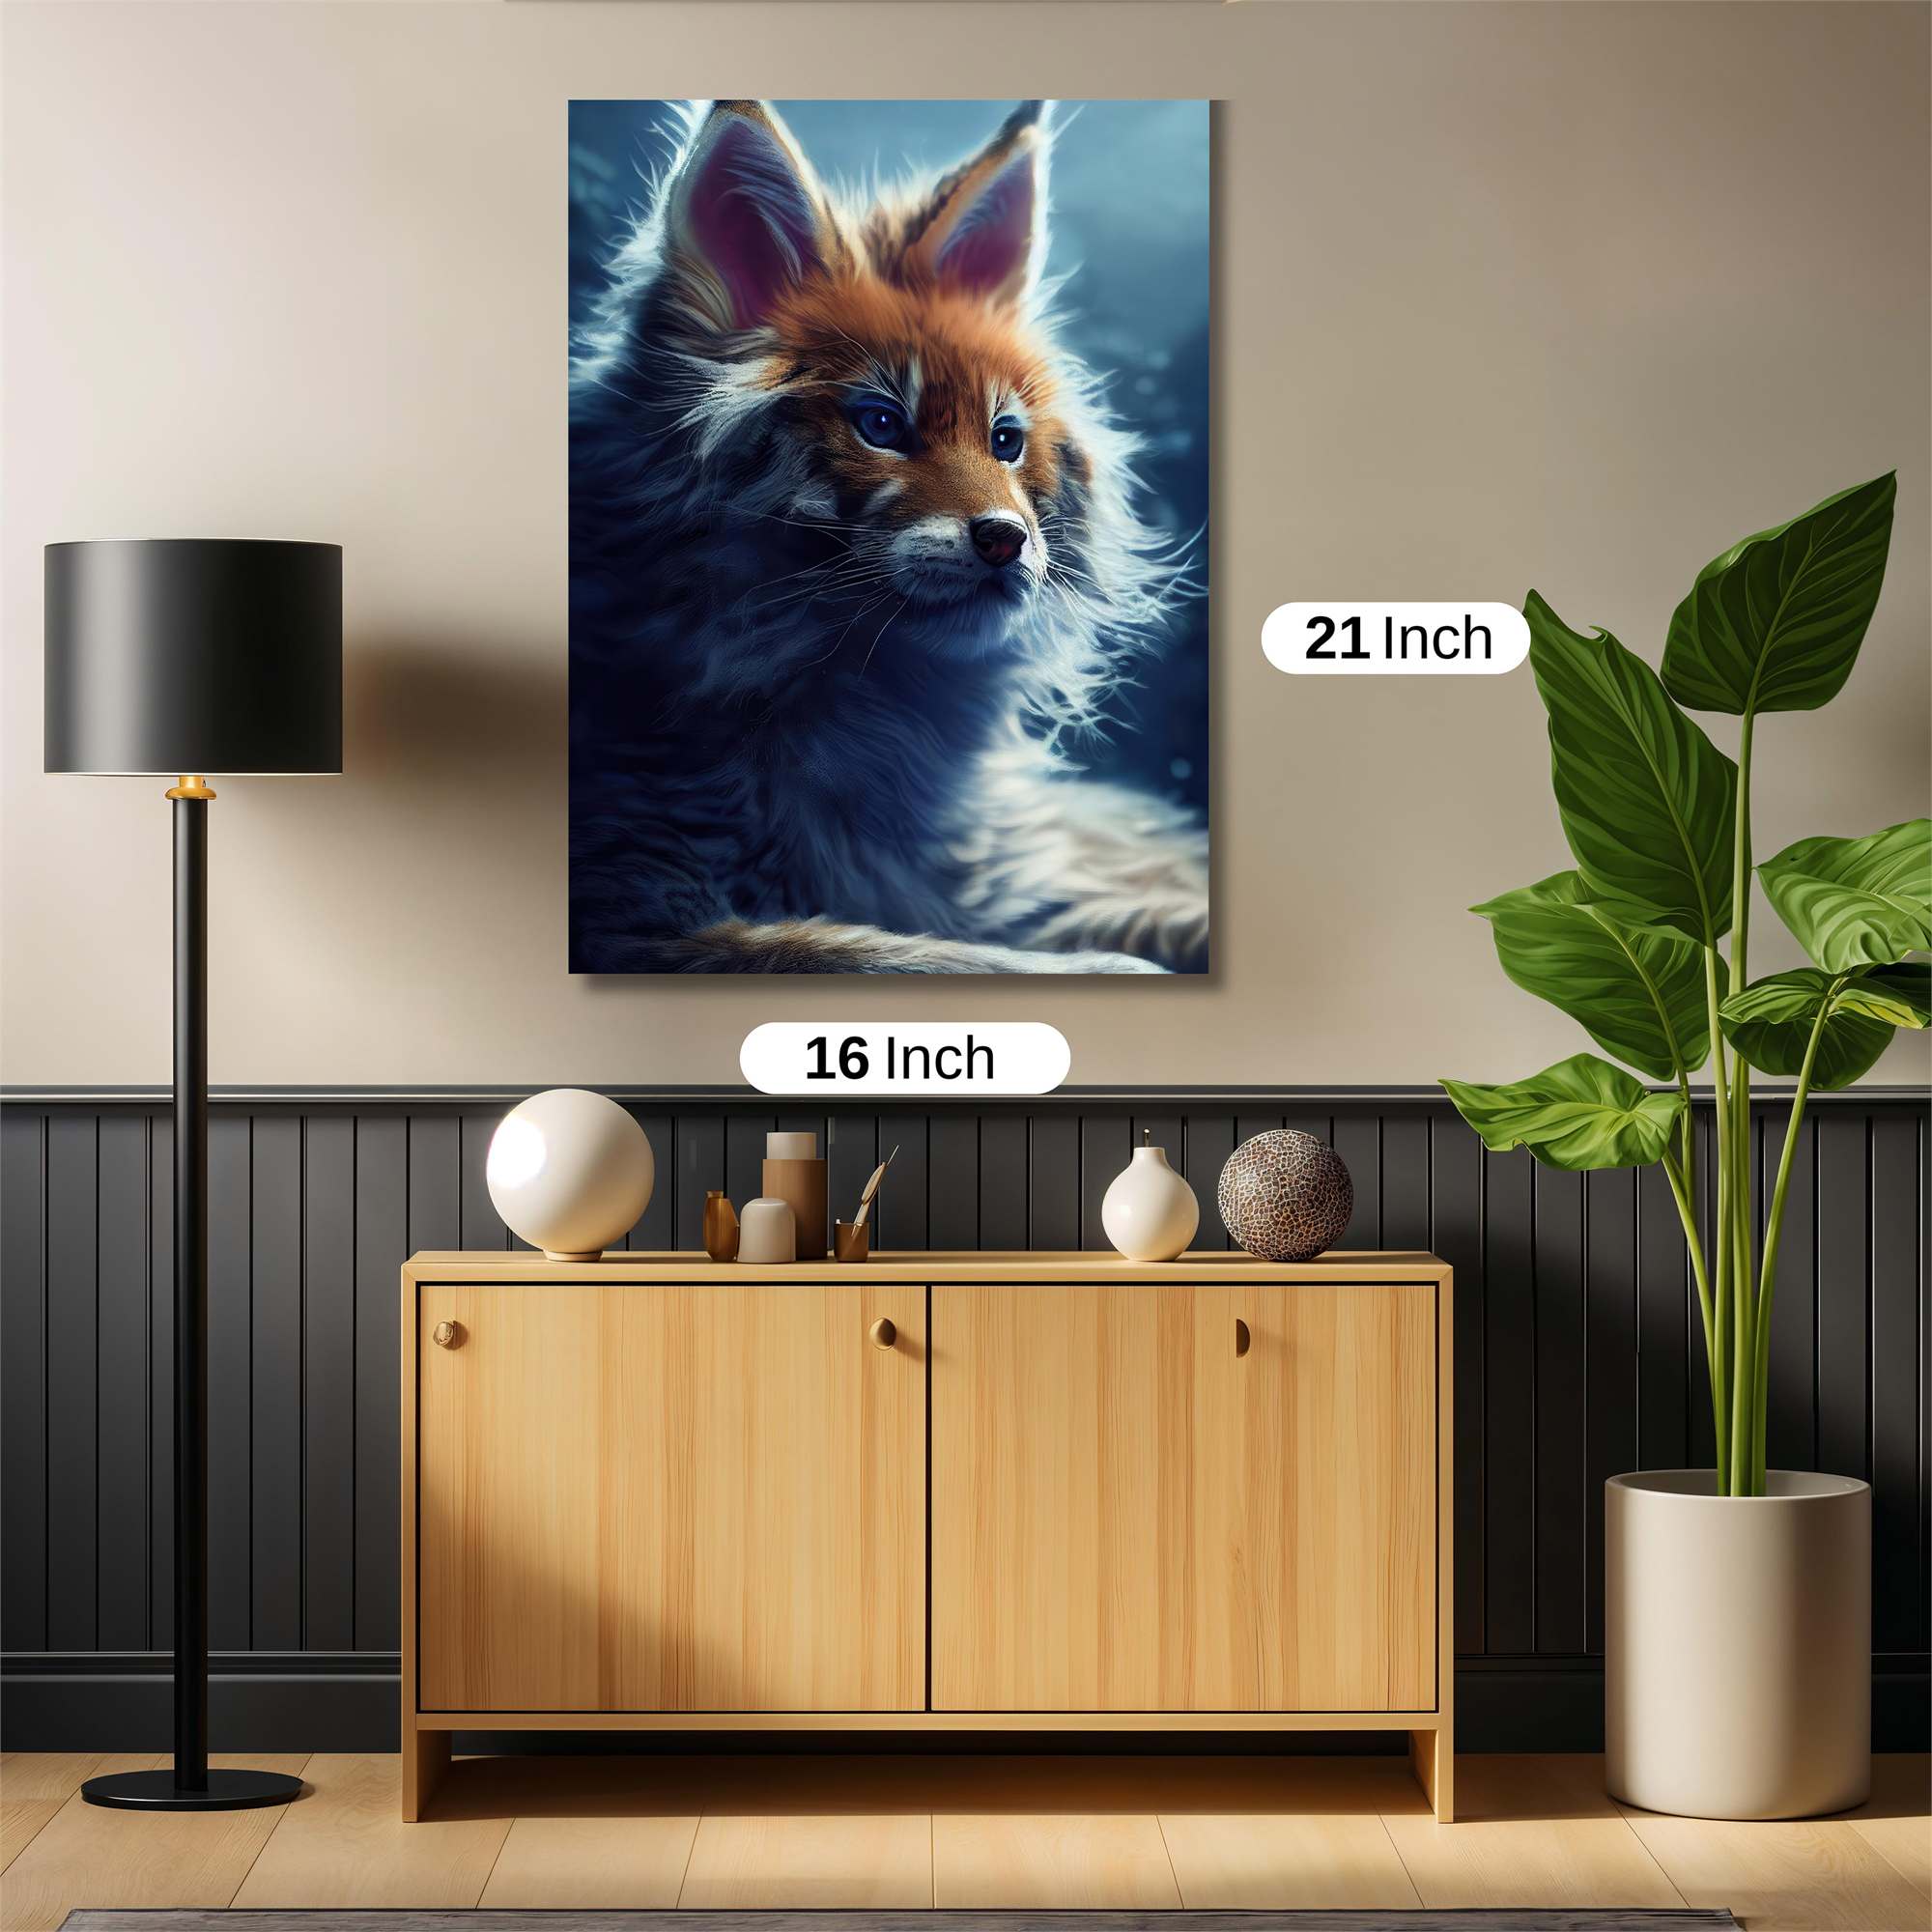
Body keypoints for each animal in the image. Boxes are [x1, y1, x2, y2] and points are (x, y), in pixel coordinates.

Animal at [570, 98, 1209, 973]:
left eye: (1005, 441)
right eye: (880, 426)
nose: (1007, 540)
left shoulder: (983, 877)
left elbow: (1151, 909)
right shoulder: (631, 914)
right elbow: (891, 954)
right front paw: (1111, 971)